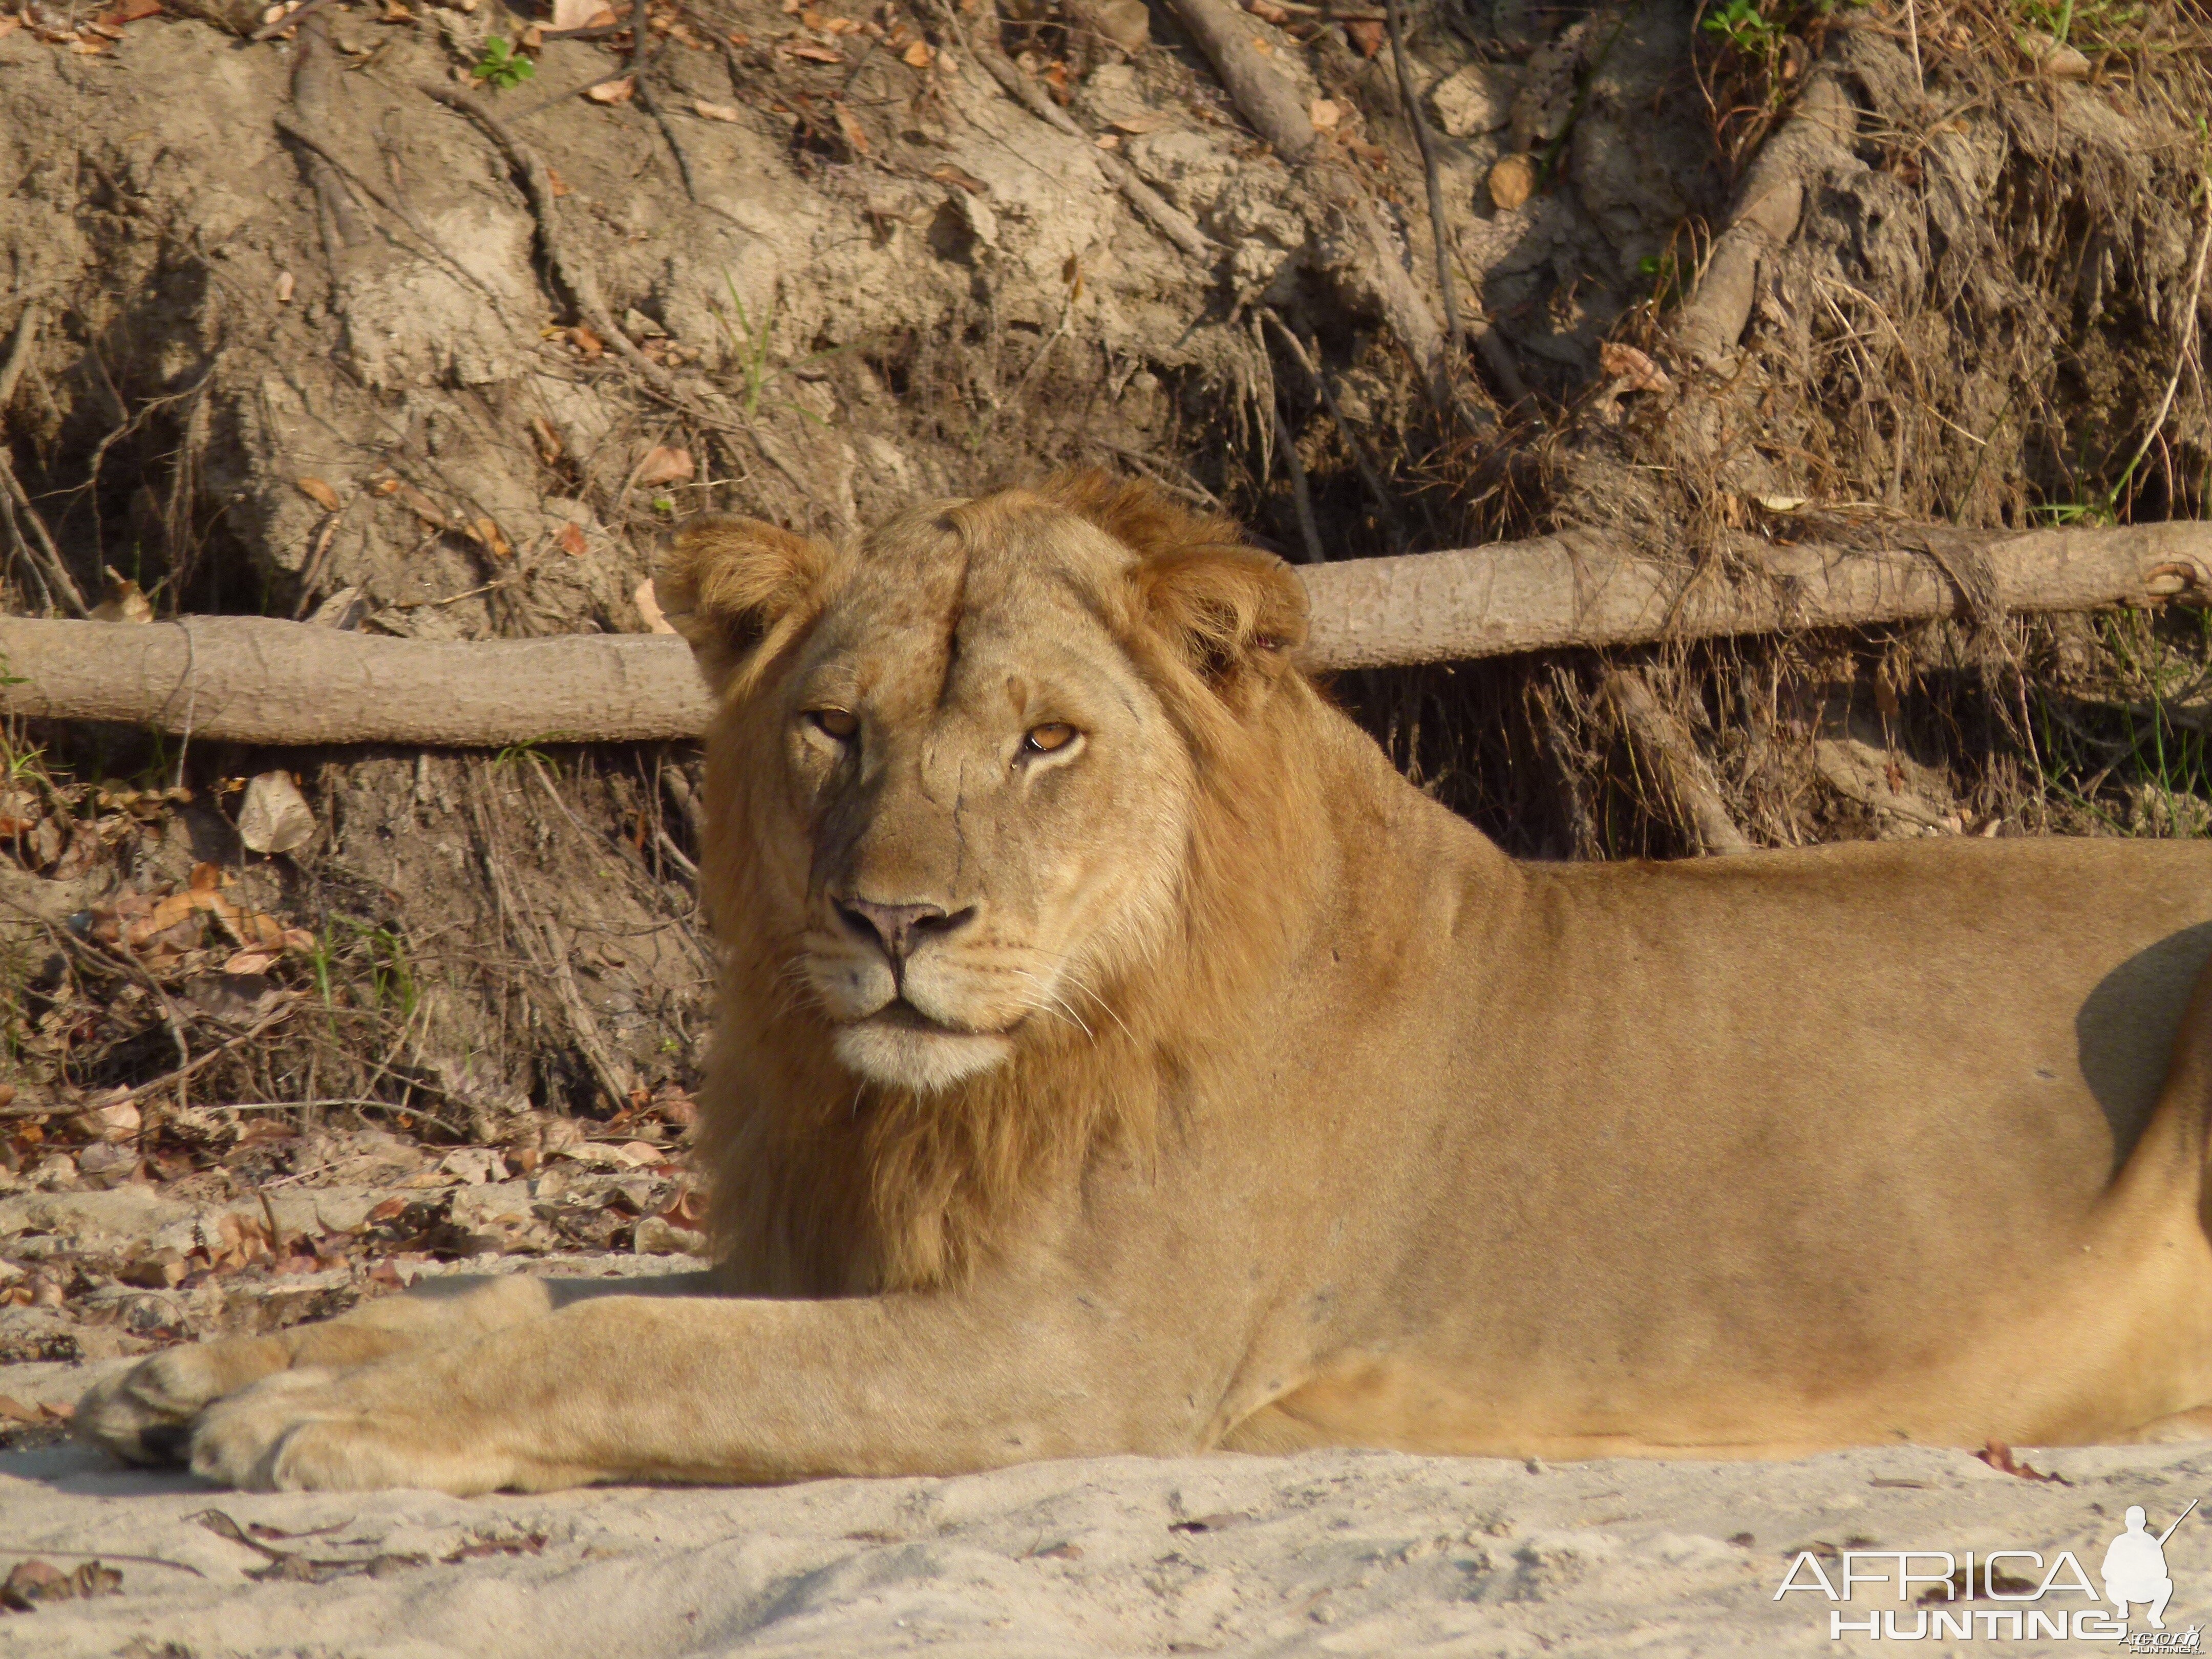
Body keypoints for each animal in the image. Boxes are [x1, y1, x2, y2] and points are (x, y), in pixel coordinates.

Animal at [86, 471, 2212, 1495]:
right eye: (833, 728)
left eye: (1045, 742)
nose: (894, 924)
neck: (917, 1106)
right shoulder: (854, 1265)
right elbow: (545, 1290)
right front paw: (232, 1363)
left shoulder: (1074, 1350)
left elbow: (641, 1351)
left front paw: (315, 1424)